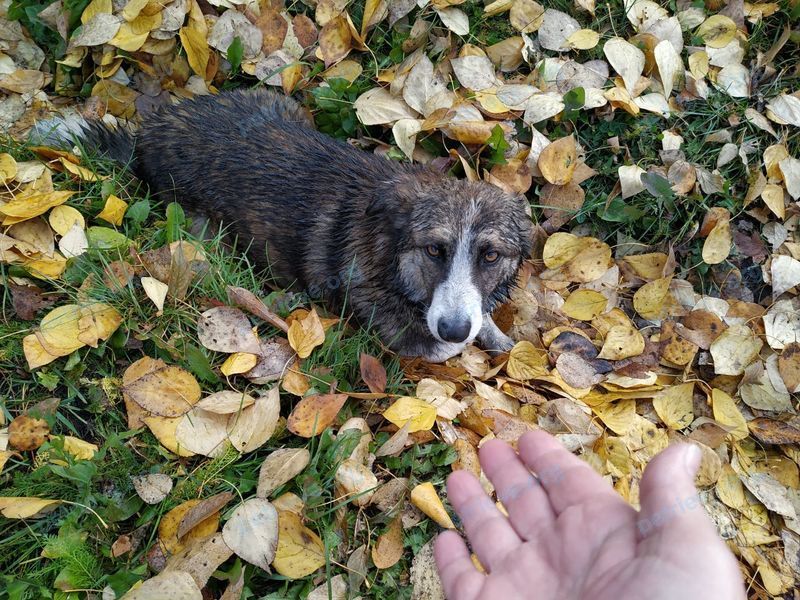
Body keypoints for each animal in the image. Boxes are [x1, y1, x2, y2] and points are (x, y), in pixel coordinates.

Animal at [34, 88, 532, 360]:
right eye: (434, 250)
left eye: (490, 254)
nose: (453, 327)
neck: (388, 251)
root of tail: (148, 136)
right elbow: (446, 347)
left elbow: (483, 324)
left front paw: (499, 339)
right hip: (201, 230)